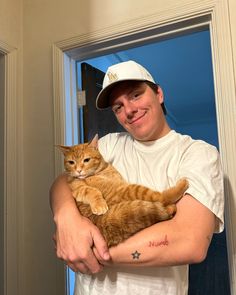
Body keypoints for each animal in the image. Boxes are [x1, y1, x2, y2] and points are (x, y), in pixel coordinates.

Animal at [57, 135, 188, 249]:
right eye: (71, 162)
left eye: (86, 160)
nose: (78, 171)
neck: (101, 170)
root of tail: (101, 221)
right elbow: (91, 191)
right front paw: (99, 204)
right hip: (130, 190)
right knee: (162, 197)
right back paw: (179, 190)